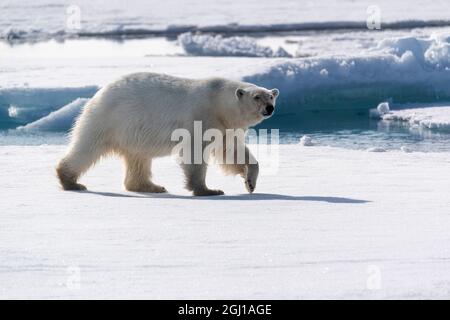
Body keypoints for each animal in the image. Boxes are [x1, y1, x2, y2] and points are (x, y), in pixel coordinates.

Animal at [57, 73, 278, 195]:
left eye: (270, 96)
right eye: (256, 97)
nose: (270, 108)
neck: (219, 104)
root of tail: (99, 94)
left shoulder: (226, 128)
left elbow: (232, 152)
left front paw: (250, 183)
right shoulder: (202, 117)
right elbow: (195, 152)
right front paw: (208, 190)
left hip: (132, 133)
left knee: (138, 159)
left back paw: (151, 186)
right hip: (109, 120)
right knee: (87, 148)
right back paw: (71, 181)